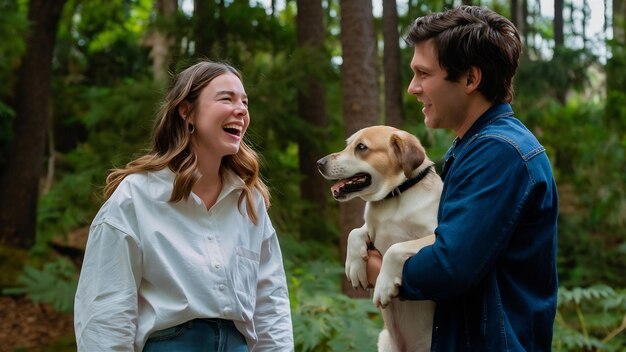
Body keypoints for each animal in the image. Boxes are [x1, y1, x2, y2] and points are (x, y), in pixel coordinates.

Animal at [314, 125, 442, 350]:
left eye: (361, 147)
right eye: (348, 144)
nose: (320, 163)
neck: (394, 197)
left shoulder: (436, 238)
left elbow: (395, 248)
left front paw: (383, 285)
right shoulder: (369, 228)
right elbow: (354, 232)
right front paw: (354, 267)